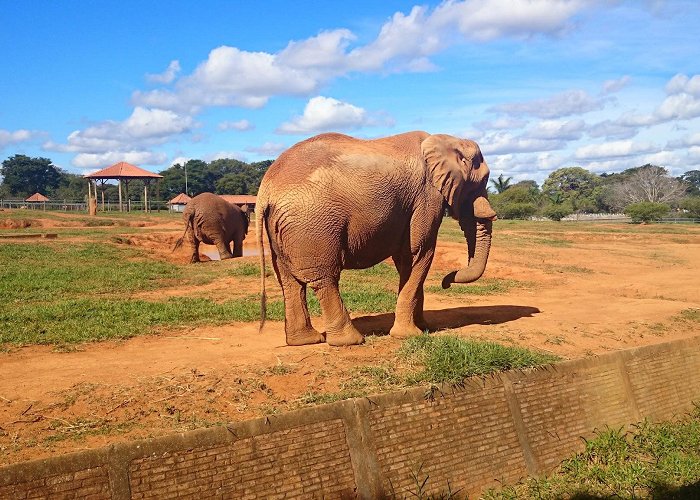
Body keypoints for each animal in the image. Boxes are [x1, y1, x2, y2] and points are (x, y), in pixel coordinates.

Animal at [254, 131, 494, 346]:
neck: (447, 139)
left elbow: (406, 260)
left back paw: (305, 341)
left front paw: (424, 328)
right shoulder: (427, 197)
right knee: (325, 278)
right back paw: (349, 341)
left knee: (289, 281)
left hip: (282, 227)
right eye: (482, 180)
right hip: (312, 223)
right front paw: (410, 335)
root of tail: (266, 189)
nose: (447, 281)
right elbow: (419, 253)